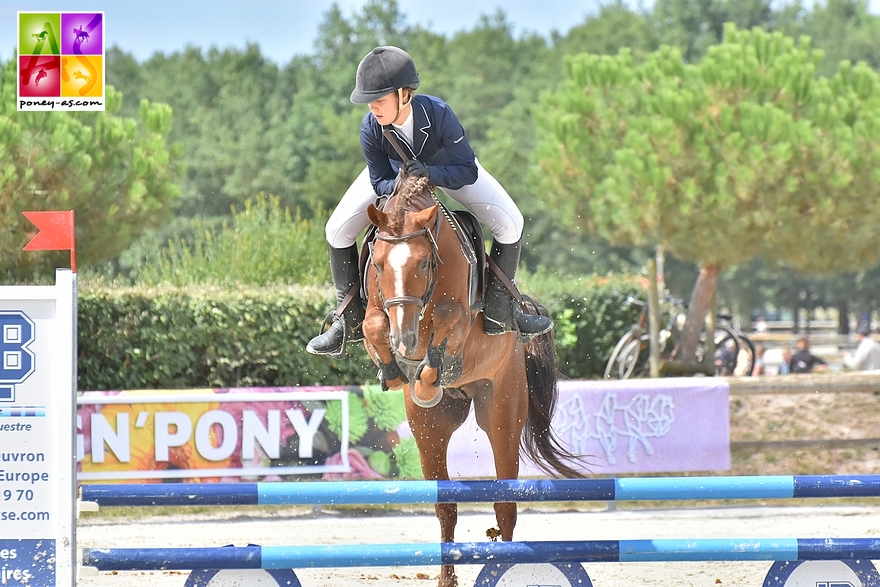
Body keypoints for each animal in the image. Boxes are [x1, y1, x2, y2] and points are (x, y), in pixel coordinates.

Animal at [360, 173, 580, 587]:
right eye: (377, 265)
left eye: (424, 262)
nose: (405, 339)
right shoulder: (379, 311)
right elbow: (373, 324)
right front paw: (395, 371)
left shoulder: (458, 317)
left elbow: (449, 320)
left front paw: (426, 376)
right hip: (430, 430)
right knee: (446, 507)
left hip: (502, 414)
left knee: (505, 505)